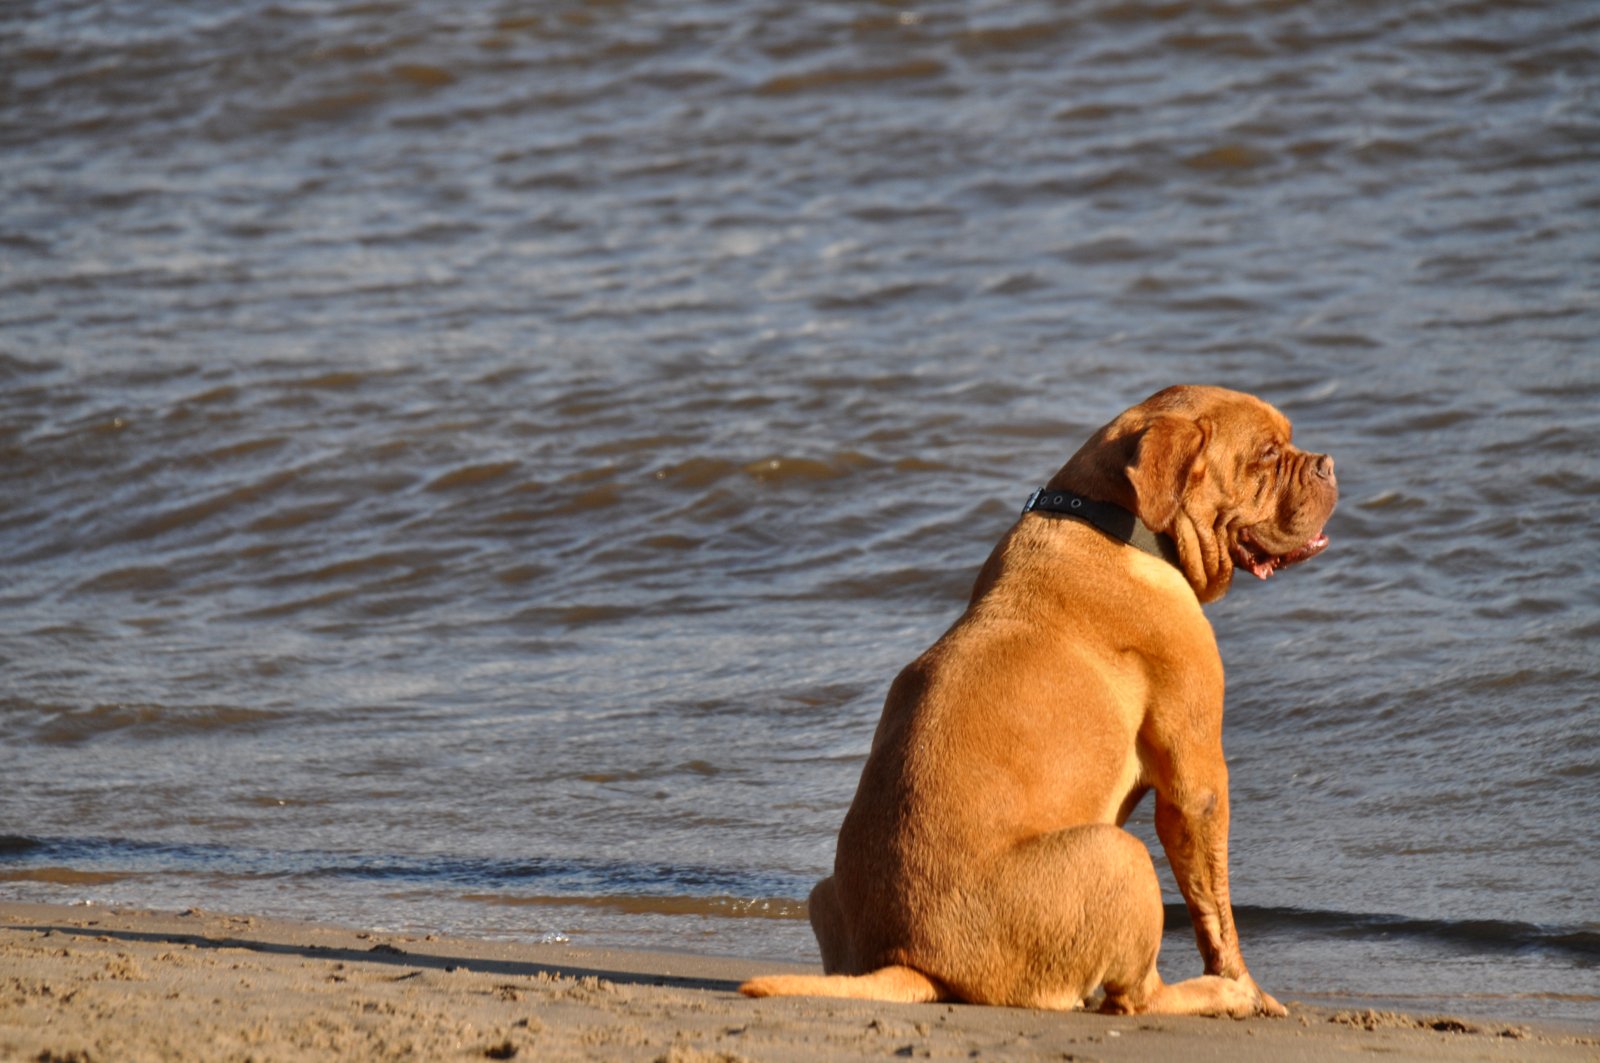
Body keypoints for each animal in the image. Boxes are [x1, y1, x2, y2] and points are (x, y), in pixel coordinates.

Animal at [739, 385, 1337, 1018]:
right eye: (1267, 454)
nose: (1327, 464)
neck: (1113, 520)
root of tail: (915, 959)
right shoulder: (1196, 782)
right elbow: (1216, 913)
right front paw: (1250, 986)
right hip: (1121, 856)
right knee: (1136, 997)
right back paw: (1218, 994)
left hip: (822, 893)